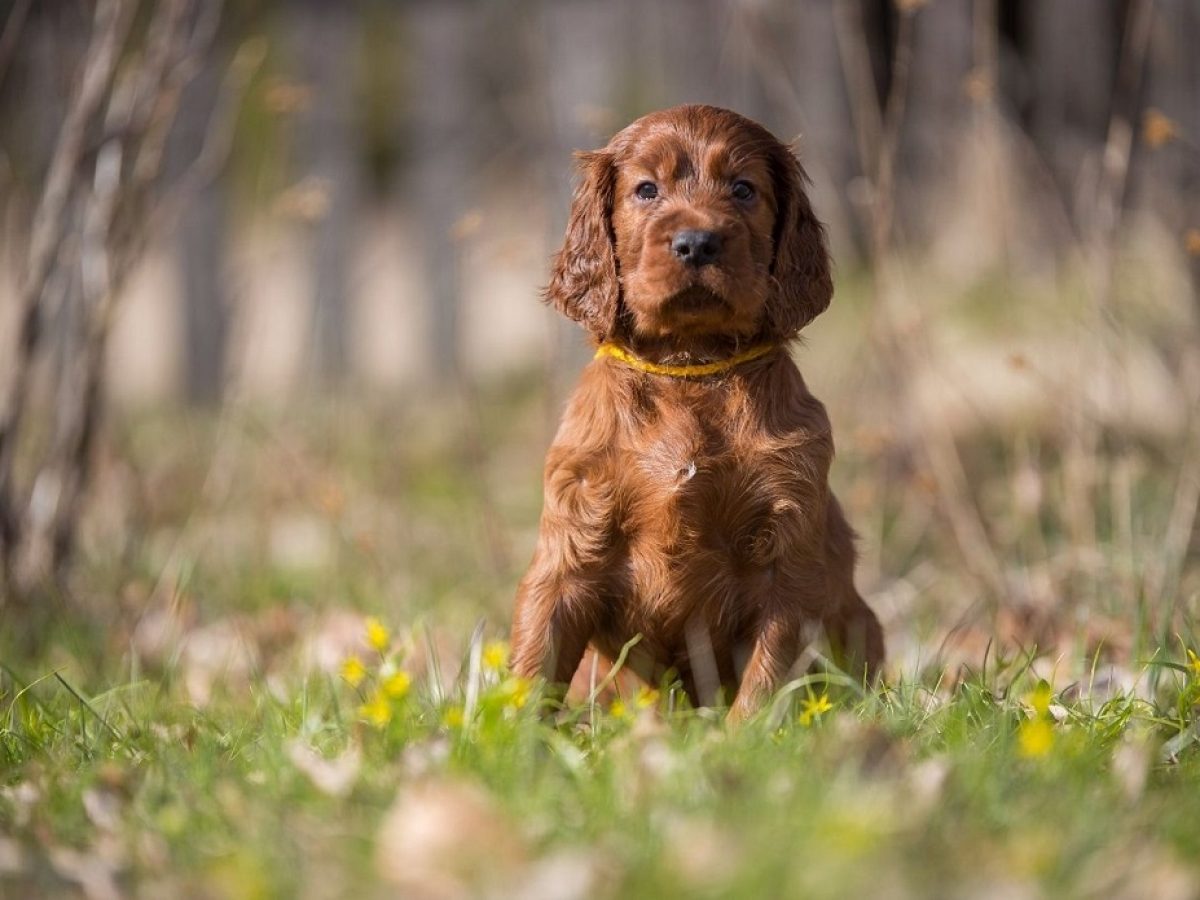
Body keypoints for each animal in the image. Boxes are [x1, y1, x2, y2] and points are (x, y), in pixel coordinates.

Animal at [511, 105, 888, 724]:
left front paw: (745, 739)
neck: (691, 369)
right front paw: (513, 739)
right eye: (646, 189)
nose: (697, 243)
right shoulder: (570, 544)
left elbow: (765, 680)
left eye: (743, 189)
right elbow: (532, 661)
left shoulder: (788, 561)